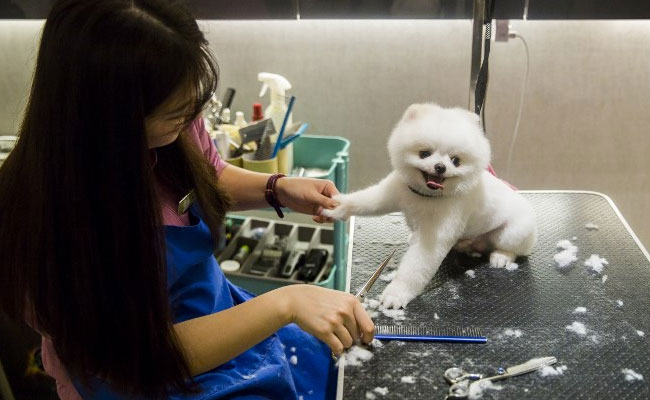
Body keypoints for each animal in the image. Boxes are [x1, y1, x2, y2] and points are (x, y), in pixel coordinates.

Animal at [322, 103, 536, 310]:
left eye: (456, 160)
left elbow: (416, 267)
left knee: (514, 248)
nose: (440, 167)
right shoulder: (392, 193)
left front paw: (396, 294)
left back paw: (501, 256)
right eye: (424, 153)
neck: (426, 196)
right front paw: (338, 207)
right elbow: (365, 201)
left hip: (514, 232)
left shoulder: (436, 233)